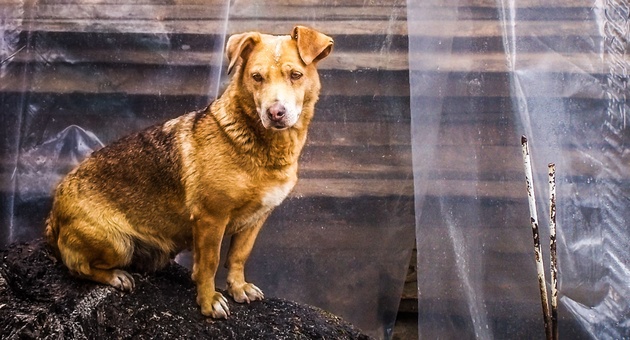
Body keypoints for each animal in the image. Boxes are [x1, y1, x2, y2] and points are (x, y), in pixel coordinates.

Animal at [45, 26, 336, 318]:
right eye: (256, 77)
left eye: (295, 75)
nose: (275, 113)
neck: (263, 147)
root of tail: (53, 215)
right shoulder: (210, 219)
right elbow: (209, 263)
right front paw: (208, 301)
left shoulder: (256, 219)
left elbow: (238, 256)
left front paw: (238, 287)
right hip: (118, 244)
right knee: (78, 268)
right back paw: (116, 276)